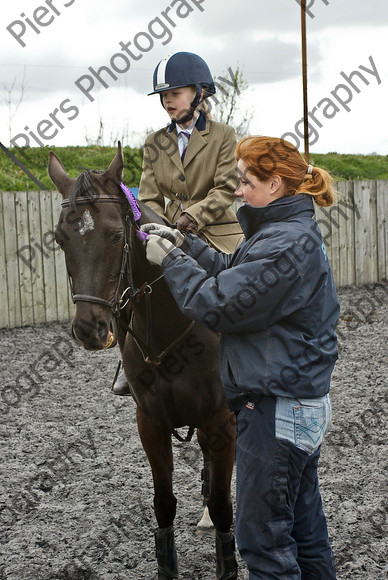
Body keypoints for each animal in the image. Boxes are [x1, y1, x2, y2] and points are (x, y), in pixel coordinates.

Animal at [48, 143, 236, 576]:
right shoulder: (150, 421)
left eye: (117, 235)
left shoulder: (221, 418)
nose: (90, 329)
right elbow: (163, 503)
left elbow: (224, 505)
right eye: (61, 239)